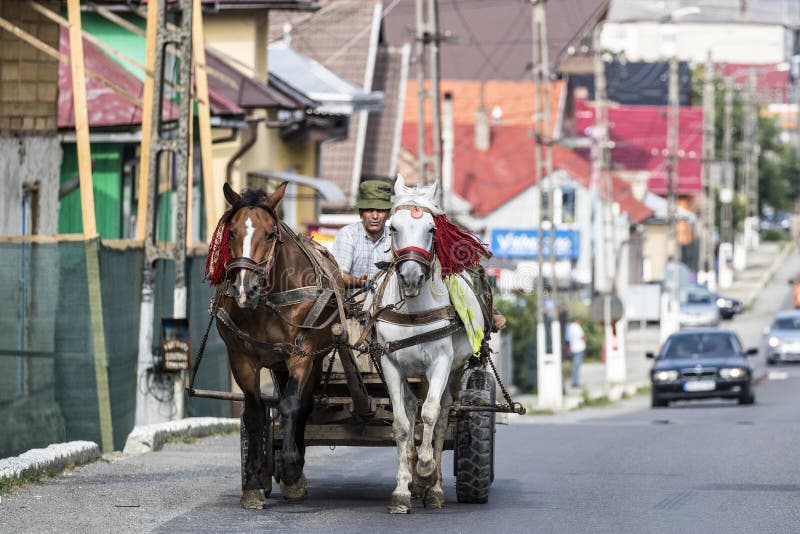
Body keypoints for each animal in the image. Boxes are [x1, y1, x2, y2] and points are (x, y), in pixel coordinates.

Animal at [209, 182, 344, 508]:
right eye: (231, 233)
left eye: (270, 234)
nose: (244, 290)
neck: (268, 301)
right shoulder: (241, 359)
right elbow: (255, 413)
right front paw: (254, 481)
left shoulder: (301, 355)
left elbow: (291, 404)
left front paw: (292, 467)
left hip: (312, 360)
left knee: (302, 405)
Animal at [364, 177, 488, 516]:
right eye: (393, 228)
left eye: (431, 229)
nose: (410, 277)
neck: (412, 309)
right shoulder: (390, 364)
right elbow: (402, 425)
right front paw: (402, 491)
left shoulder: (441, 362)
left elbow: (431, 414)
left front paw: (425, 468)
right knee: (410, 407)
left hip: (455, 370)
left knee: (444, 411)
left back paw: (433, 487)